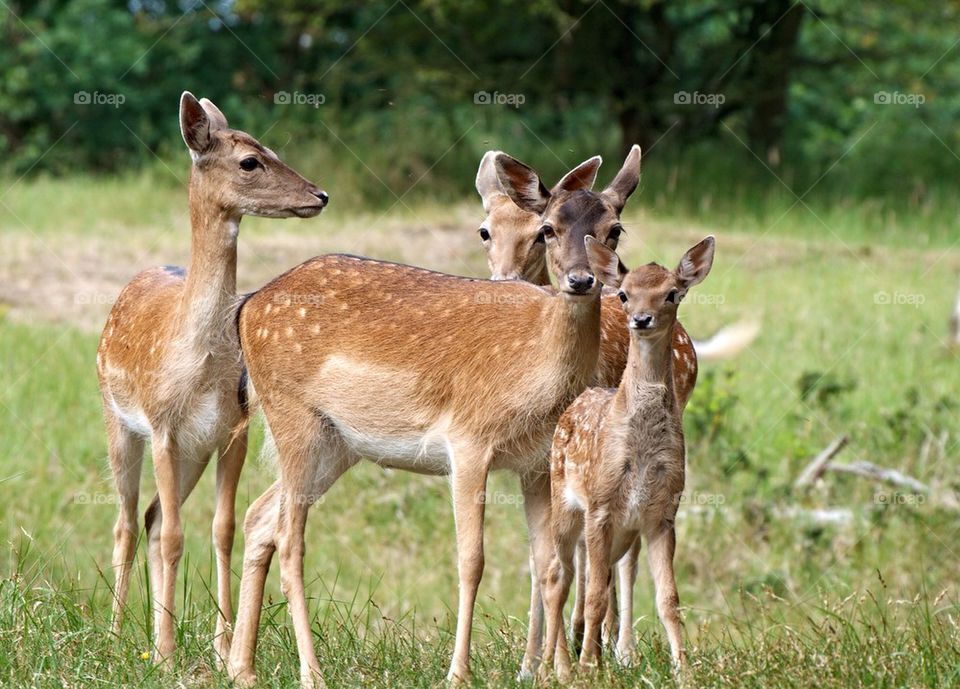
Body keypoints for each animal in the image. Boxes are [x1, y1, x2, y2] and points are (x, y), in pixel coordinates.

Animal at [96, 90, 330, 668]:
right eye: (249, 161)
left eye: (273, 149)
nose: (320, 194)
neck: (199, 362)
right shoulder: (161, 426)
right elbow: (178, 536)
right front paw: (165, 653)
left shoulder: (232, 430)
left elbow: (221, 529)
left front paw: (222, 645)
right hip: (118, 420)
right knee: (128, 522)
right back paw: (116, 634)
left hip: (192, 451)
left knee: (154, 517)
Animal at [226, 146, 640, 684]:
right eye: (549, 228)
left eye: (614, 229)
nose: (582, 279)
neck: (536, 375)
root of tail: (247, 306)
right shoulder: (468, 440)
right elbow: (472, 560)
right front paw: (458, 673)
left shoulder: (536, 462)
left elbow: (551, 564)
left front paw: (560, 674)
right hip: (289, 411)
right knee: (289, 538)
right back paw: (311, 673)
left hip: (337, 442)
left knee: (260, 516)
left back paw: (241, 668)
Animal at [540, 234, 712, 680]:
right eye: (624, 294)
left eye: (672, 293)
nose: (641, 319)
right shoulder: (600, 506)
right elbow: (595, 596)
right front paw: (587, 668)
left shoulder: (662, 513)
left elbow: (669, 599)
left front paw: (684, 670)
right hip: (565, 505)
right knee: (557, 578)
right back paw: (555, 668)